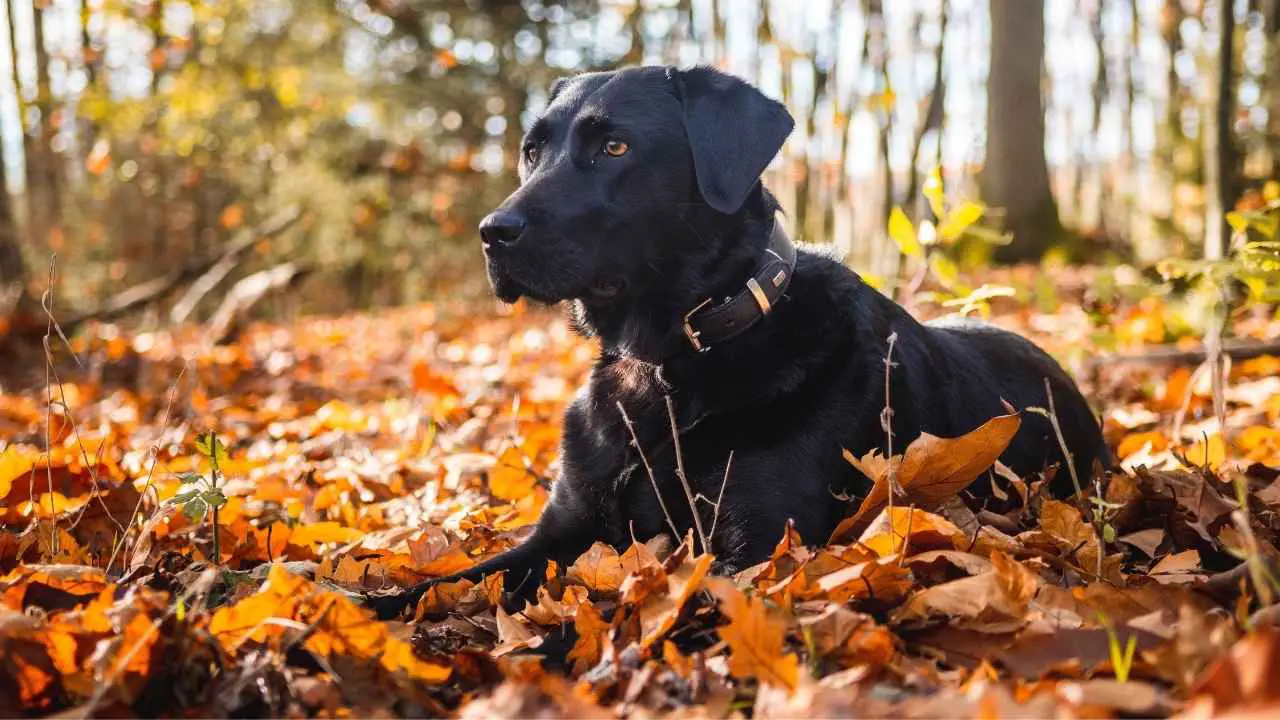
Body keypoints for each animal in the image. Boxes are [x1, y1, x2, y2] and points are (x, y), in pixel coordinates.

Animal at [368, 67, 1100, 614]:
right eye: (531, 149)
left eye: (615, 148)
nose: (493, 233)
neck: (665, 364)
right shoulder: (564, 529)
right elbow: (445, 584)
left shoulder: (753, 553)